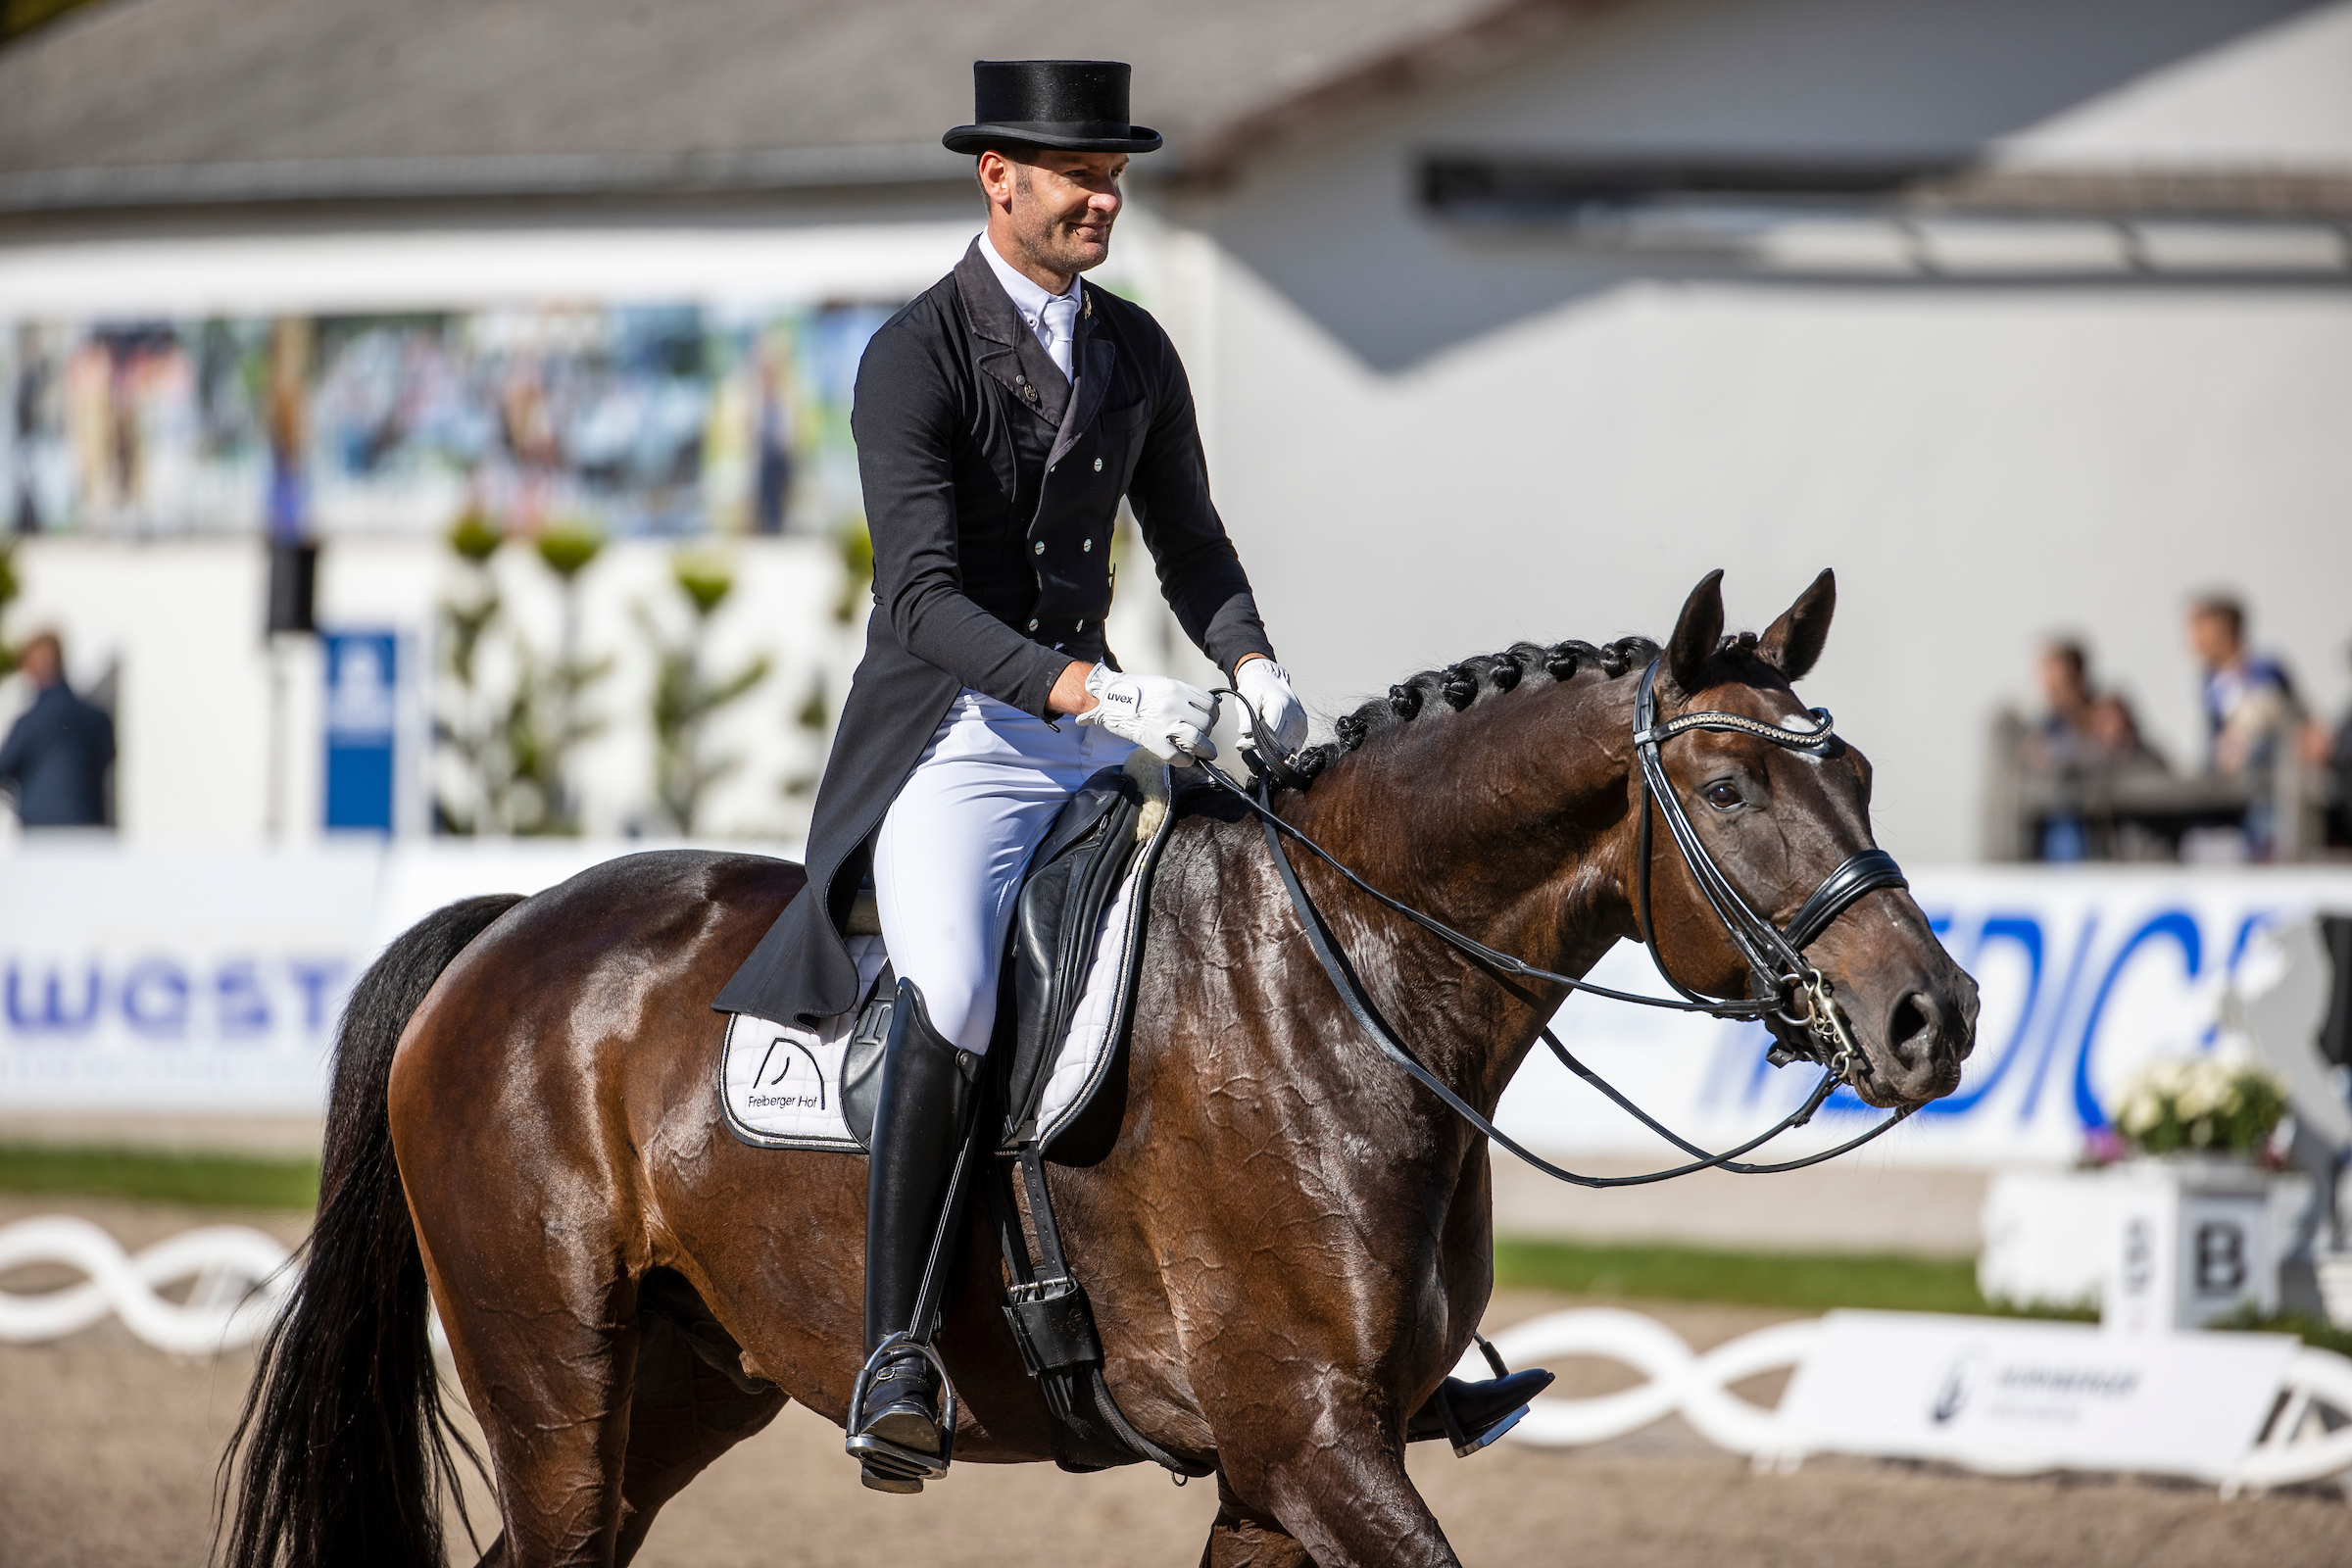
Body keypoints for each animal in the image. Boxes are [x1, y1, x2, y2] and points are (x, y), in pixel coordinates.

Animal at [220, 573, 1976, 1568]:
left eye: (1858, 767)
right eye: (1734, 789)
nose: (1936, 1016)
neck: (1341, 981)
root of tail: (512, 927)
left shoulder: (1284, 1475)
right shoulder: (1308, 1445)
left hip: (680, 1389)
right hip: (556, 1390)